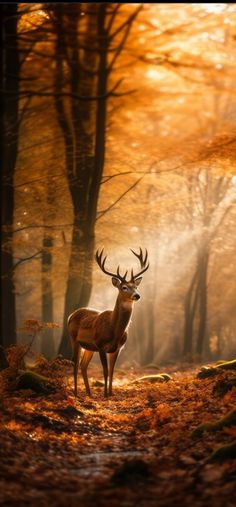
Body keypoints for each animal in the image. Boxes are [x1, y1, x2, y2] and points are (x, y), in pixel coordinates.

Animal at [68, 248, 149, 398]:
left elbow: (112, 371)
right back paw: (76, 393)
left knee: (83, 365)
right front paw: (105, 394)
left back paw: (89, 393)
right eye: (124, 287)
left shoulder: (118, 348)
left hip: (88, 347)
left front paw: (111, 393)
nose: (137, 295)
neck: (114, 330)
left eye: (136, 287)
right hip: (74, 339)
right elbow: (105, 371)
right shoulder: (100, 345)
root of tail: (71, 315)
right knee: (74, 363)